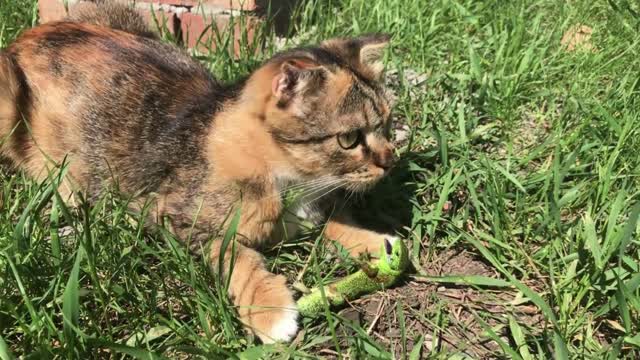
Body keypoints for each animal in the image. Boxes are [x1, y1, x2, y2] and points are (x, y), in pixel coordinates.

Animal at [0, 0, 398, 344]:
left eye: (386, 123)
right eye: (348, 138)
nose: (390, 160)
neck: (288, 179)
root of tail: (25, 37)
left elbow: (332, 221)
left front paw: (375, 243)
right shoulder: (178, 220)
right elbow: (238, 258)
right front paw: (269, 311)